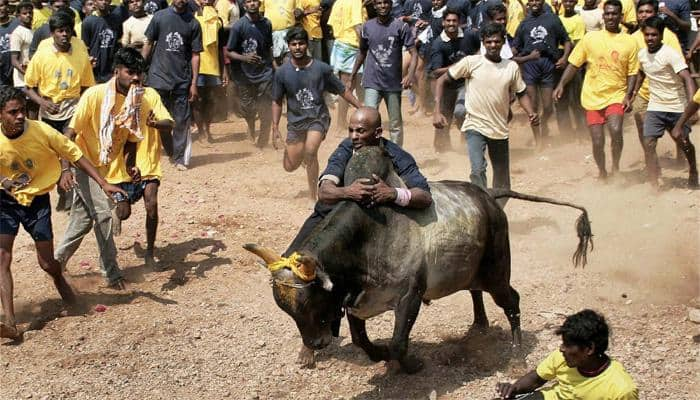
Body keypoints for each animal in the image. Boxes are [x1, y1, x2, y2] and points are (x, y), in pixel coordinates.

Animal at [243, 145, 592, 374]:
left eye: (313, 301)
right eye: (288, 310)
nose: (315, 343)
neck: (367, 236)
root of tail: (488, 196)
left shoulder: (409, 296)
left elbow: (399, 342)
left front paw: (409, 363)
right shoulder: (356, 299)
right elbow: (360, 339)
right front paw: (379, 354)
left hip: (497, 272)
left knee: (512, 302)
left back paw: (517, 357)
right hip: (471, 270)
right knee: (474, 290)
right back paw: (479, 324)